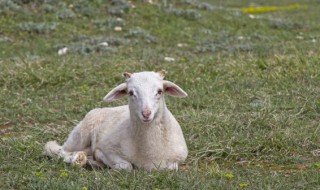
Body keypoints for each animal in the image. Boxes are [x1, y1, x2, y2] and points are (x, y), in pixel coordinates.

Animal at [42, 70, 188, 171]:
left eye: (160, 91)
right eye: (130, 92)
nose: (146, 114)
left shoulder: (177, 160)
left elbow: (171, 168)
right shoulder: (108, 148)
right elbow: (126, 166)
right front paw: (101, 160)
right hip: (80, 134)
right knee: (61, 151)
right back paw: (78, 159)